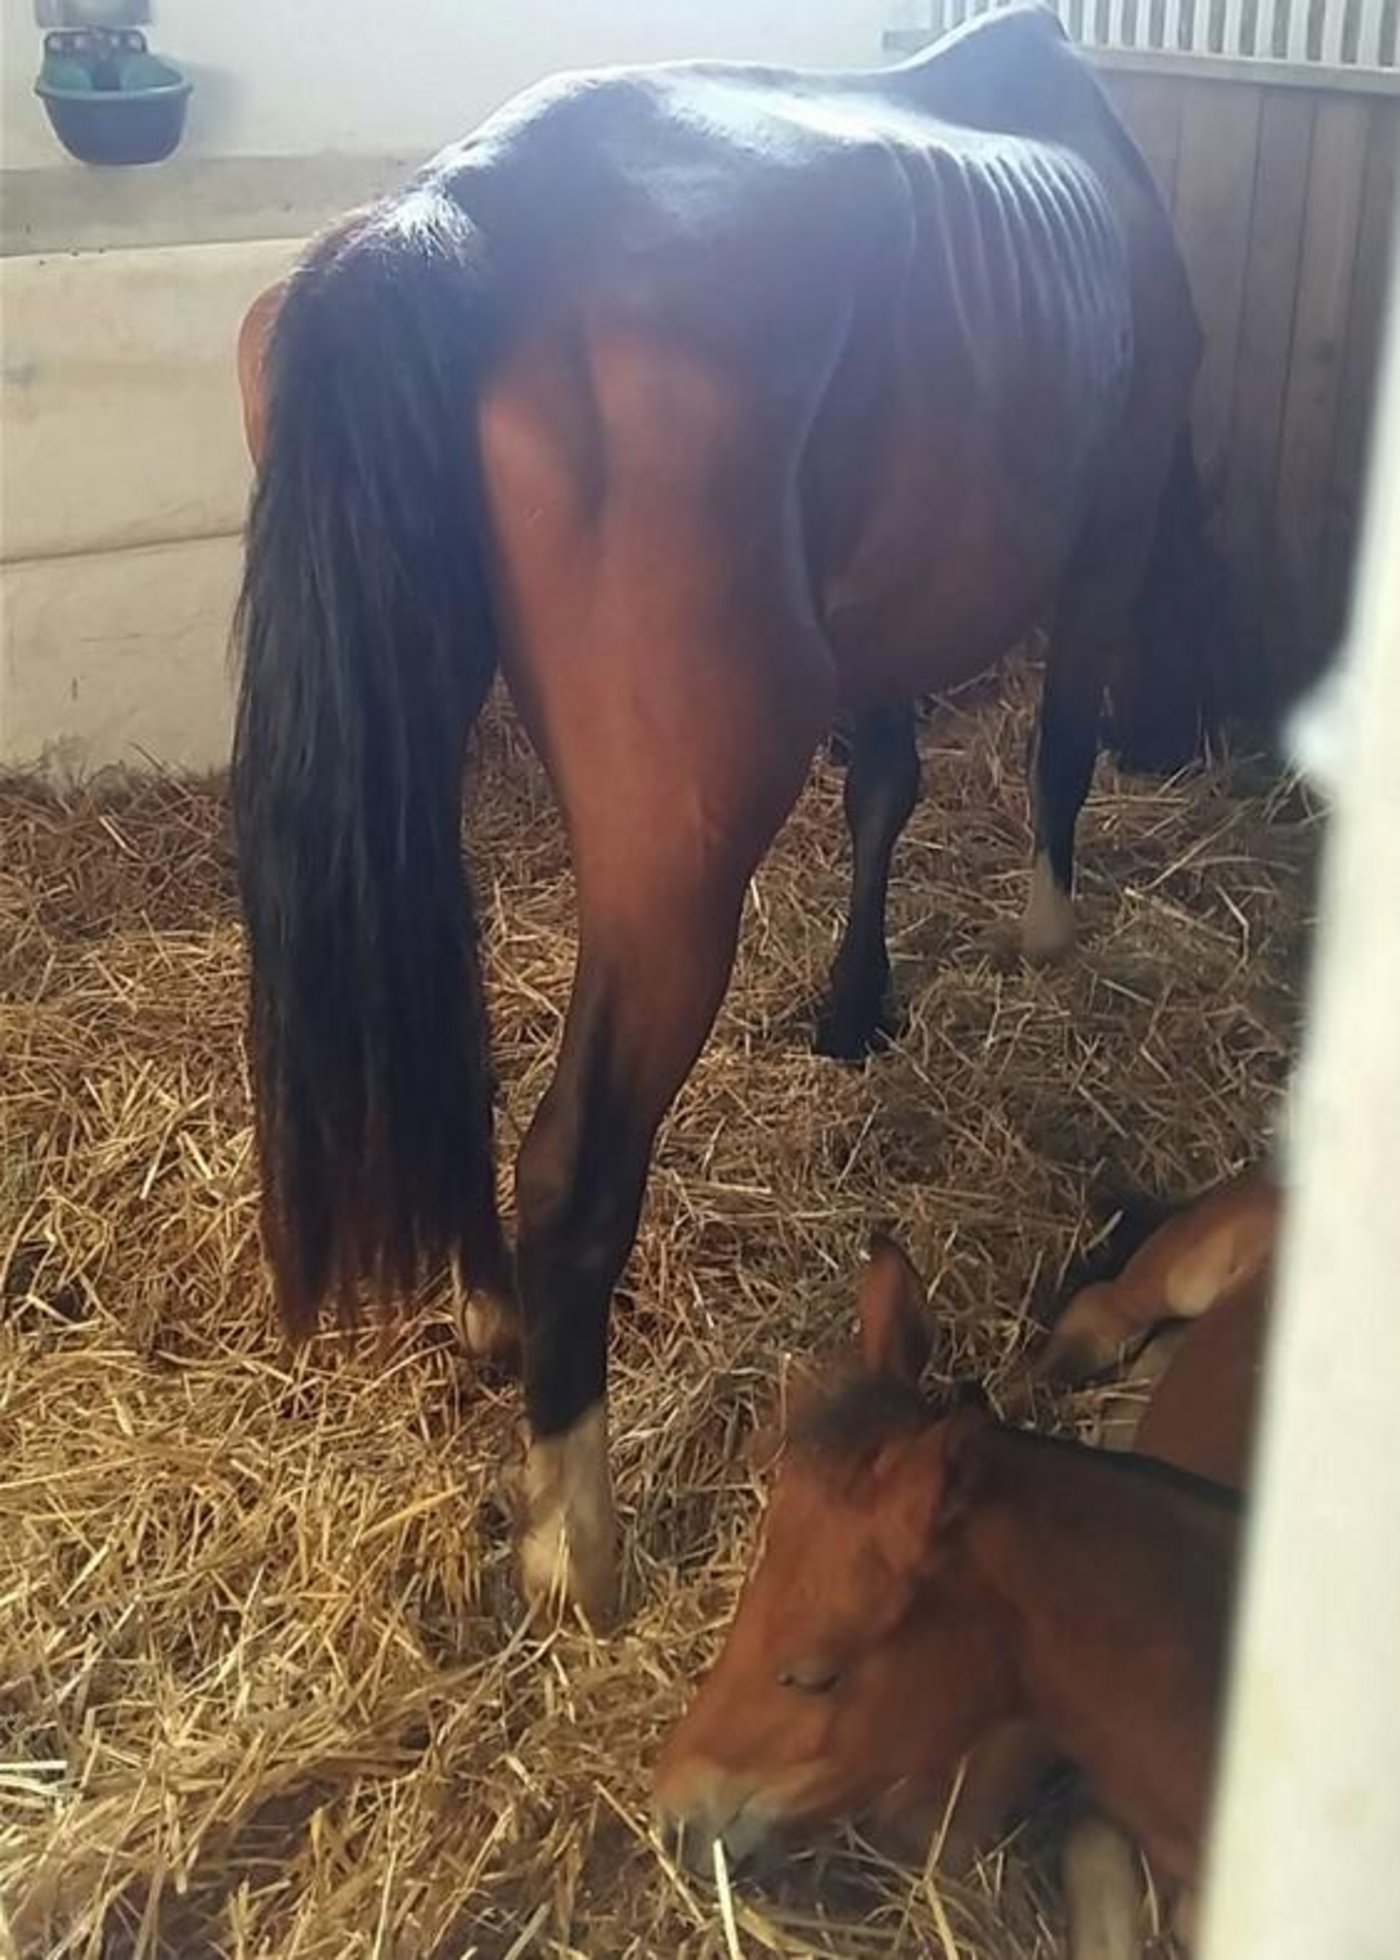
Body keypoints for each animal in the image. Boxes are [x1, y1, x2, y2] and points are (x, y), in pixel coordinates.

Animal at [231, 6, 1223, 1623]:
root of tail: (462, 218)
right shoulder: (1103, 544)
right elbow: (1055, 757)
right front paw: (1046, 935)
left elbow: (885, 785)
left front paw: (853, 1004)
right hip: (675, 860)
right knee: (574, 1168)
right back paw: (576, 1539)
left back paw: (492, 1320)